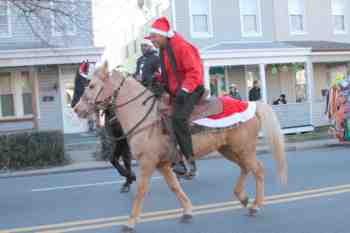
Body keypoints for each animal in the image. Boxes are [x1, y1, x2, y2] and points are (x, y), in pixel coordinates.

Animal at [71, 61, 135, 192]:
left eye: (89, 86)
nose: (75, 107)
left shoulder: (124, 139)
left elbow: (123, 159)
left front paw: (130, 177)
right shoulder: (120, 139)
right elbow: (117, 159)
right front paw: (128, 179)